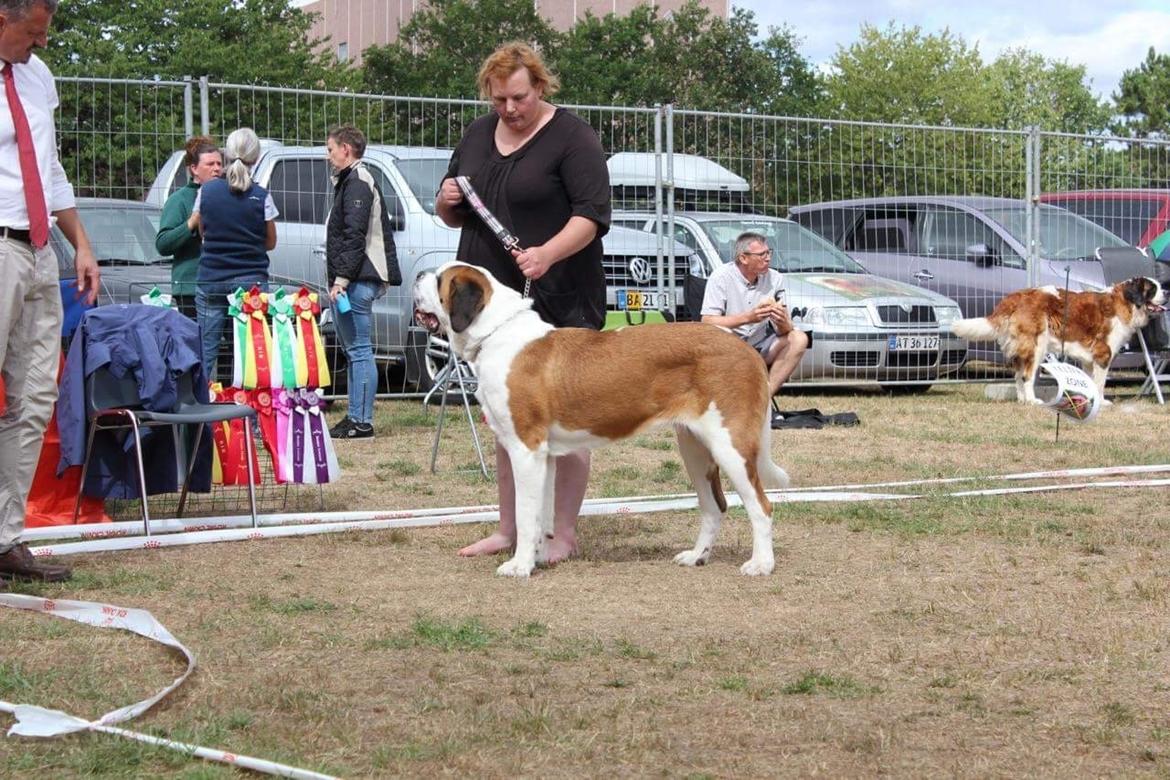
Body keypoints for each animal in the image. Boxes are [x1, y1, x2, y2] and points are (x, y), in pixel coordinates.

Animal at [411, 261, 786, 580]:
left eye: (439, 279)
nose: (418, 275)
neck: (497, 333)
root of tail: (747, 350)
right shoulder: (544, 457)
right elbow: (542, 513)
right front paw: (538, 558)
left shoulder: (526, 449)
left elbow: (525, 512)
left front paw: (519, 566)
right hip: (695, 449)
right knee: (714, 506)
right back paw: (697, 556)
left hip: (730, 445)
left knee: (762, 506)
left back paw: (761, 565)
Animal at [954, 275, 1165, 402]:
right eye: (1153, 289)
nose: (1167, 293)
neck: (1126, 302)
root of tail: (1018, 295)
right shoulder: (1103, 354)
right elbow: (1100, 383)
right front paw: (1102, 402)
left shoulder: (1089, 359)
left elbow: (1090, 380)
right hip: (1036, 346)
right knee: (1026, 375)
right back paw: (1032, 401)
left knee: (1017, 375)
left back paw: (1022, 400)